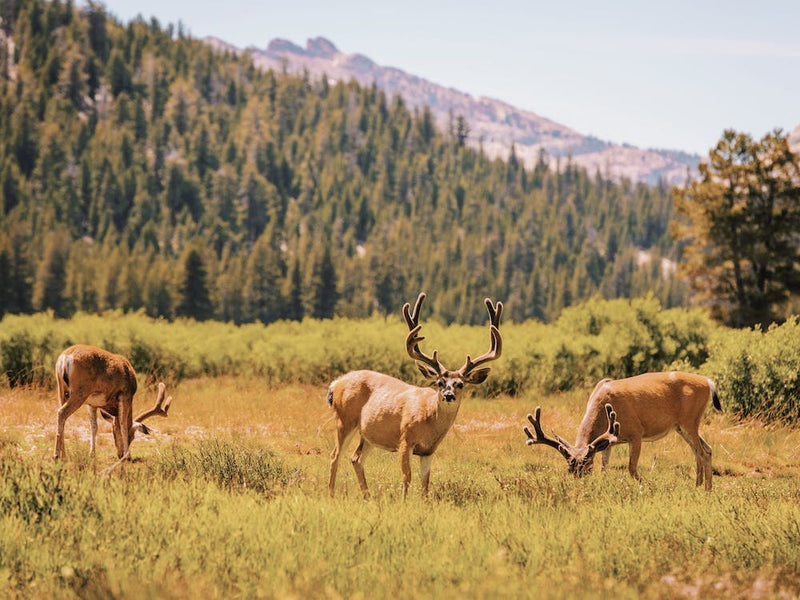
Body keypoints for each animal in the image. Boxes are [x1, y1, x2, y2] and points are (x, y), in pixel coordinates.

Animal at [327, 293, 502, 499]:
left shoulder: (428, 451)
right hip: (344, 420)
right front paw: (404, 501)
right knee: (335, 455)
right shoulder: (405, 439)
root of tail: (336, 383)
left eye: (460, 384)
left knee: (356, 458)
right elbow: (406, 476)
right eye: (439, 383)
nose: (448, 395)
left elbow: (425, 482)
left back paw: (367, 496)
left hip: (368, 434)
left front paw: (424, 502)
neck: (429, 421)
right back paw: (331, 493)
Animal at [523, 371, 721, 491]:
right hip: (681, 426)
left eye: (587, 467)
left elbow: (631, 468)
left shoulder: (636, 433)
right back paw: (701, 487)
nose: (580, 487)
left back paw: (703, 489)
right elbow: (605, 467)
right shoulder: (610, 441)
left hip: (689, 421)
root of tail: (709, 382)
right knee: (705, 449)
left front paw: (650, 487)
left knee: (702, 452)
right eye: (570, 470)